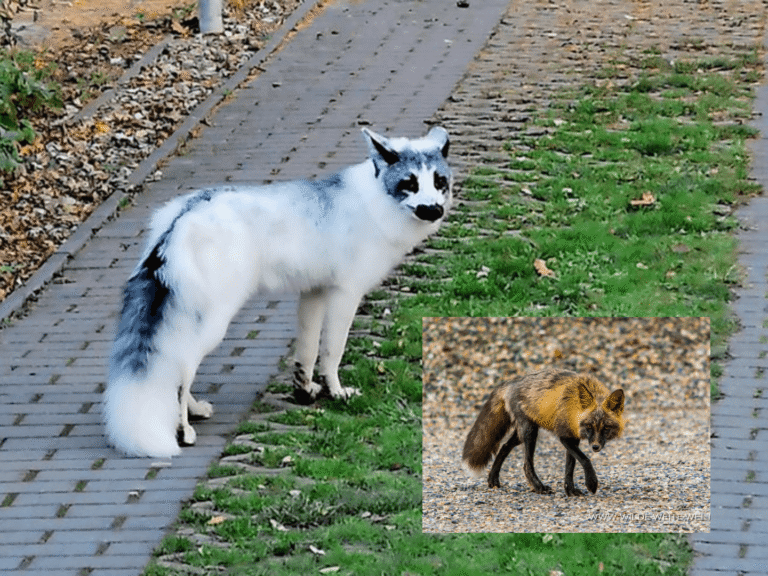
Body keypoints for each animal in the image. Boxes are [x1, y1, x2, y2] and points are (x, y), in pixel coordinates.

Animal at [104, 126, 452, 458]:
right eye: (409, 183)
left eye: (439, 181)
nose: (434, 209)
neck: (375, 204)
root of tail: (182, 217)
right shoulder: (346, 294)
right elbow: (332, 352)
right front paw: (337, 393)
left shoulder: (314, 292)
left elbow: (307, 353)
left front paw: (304, 391)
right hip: (211, 323)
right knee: (182, 367)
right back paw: (183, 429)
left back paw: (194, 410)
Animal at [462, 369, 625, 496]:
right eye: (589, 427)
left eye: (606, 428)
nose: (595, 447)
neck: (574, 408)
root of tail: (511, 382)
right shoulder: (564, 436)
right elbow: (584, 459)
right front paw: (591, 483)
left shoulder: (572, 436)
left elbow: (570, 467)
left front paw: (570, 490)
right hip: (530, 433)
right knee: (526, 465)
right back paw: (538, 487)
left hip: (521, 434)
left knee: (504, 447)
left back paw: (493, 479)